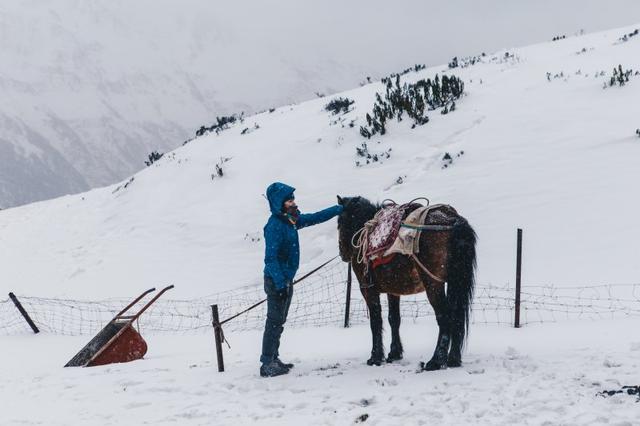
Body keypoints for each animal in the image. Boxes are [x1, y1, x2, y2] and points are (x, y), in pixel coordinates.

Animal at [338, 196, 478, 370]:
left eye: (340, 221)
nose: (342, 252)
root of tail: (453, 221)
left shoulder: (368, 289)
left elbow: (376, 321)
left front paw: (375, 357)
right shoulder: (393, 290)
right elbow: (394, 319)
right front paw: (394, 353)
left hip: (433, 284)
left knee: (445, 317)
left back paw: (436, 361)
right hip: (456, 281)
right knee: (457, 316)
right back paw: (453, 359)